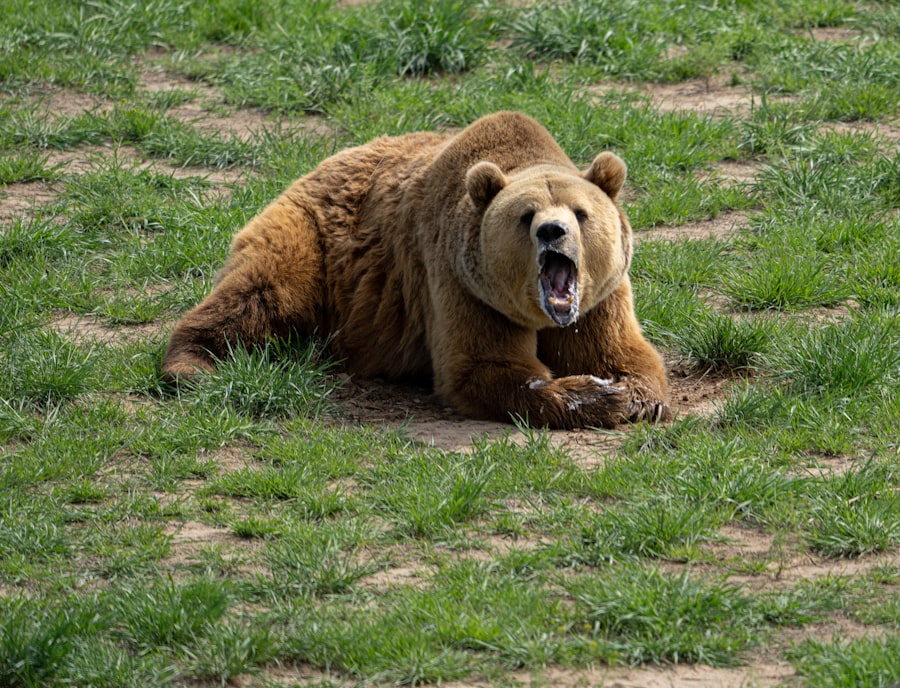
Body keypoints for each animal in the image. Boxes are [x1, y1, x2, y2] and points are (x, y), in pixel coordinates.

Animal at [162, 111, 670, 429]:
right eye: (526, 215)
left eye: (581, 213)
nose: (552, 231)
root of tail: (321, 162)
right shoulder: (460, 282)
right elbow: (483, 367)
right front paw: (598, 396)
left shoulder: (600, 298)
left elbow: (622, 353)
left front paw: (631, 395)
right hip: (313, 240)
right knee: (259, 293)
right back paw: (194, 363)